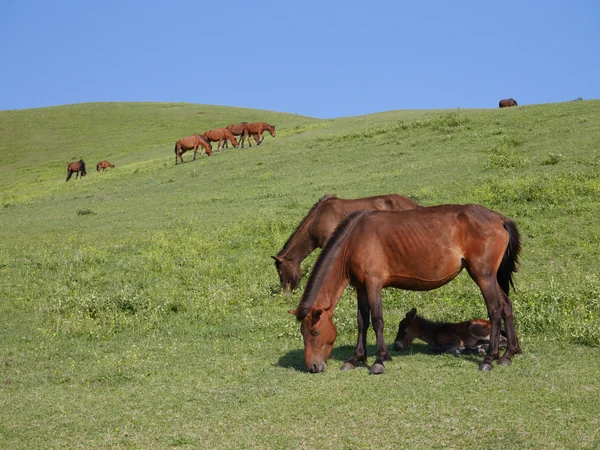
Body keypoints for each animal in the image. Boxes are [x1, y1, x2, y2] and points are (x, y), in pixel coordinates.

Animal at [290, 204, 521, 374]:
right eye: (302, 332)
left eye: (315, 332)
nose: (312, 367)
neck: (353, 241)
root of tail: (500, 219)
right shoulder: (361, 288)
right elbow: (362, 322)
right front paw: (356, 358)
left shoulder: (374, 284)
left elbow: (377, 320)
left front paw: (379, 361)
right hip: (490, 278)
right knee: (507, 305)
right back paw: (509, 354)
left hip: (483, 277)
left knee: (495, 309)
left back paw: (489, 358)